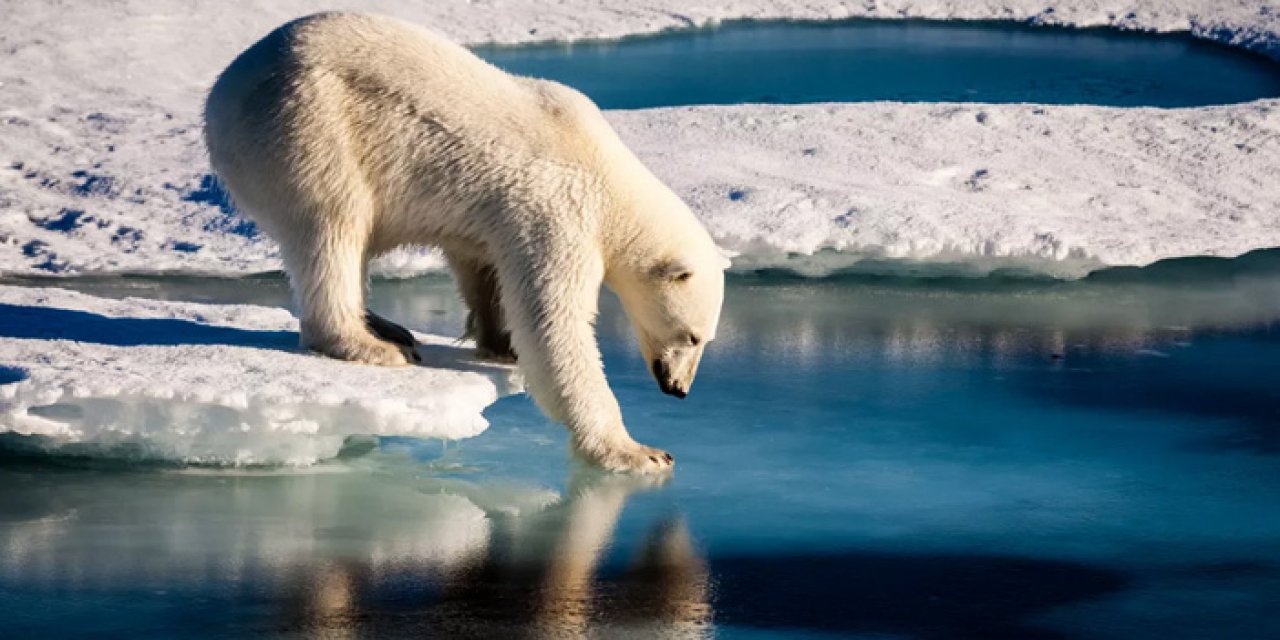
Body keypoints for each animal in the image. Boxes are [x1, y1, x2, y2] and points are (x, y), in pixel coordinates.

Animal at [209, 13, 732, 476]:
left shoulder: (496, 218)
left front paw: (500, 342)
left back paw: (386, 326)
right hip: (309, 126)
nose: (679, 389)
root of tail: (221, 91)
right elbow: (554, 326)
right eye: (693, 336)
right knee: (334, 225)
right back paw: (371, 344)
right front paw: (639, 452)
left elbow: (482, 266)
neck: (608, 177)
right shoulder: (559, 212)